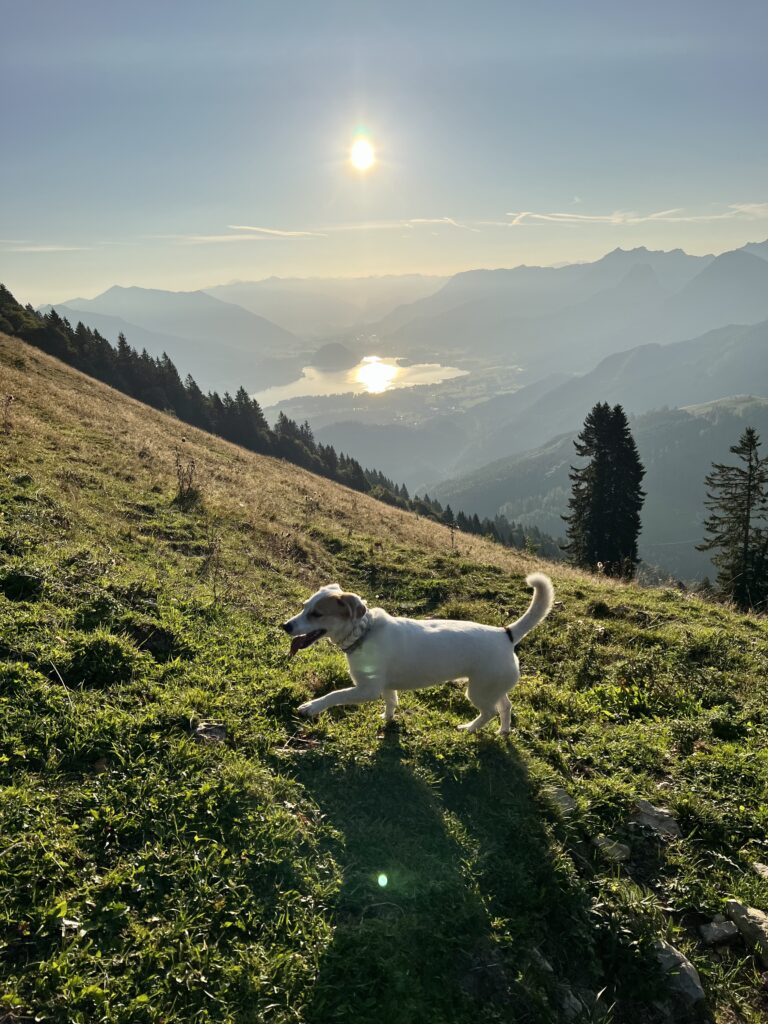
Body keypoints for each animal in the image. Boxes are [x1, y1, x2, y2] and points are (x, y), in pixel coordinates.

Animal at [282, 573, 552, 733]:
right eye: (304, 607)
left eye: (316, 614)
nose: (286, 626)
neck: (364, 632)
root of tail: (505, 634)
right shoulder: (384, 685)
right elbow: (391, 701)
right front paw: (387, 718)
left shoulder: (367, 689)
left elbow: (334, 695)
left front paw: (312, 707)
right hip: (492, 687)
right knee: (506, 706)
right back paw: (503, 731)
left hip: (479, 691)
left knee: (490, 712)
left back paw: (470, 728)